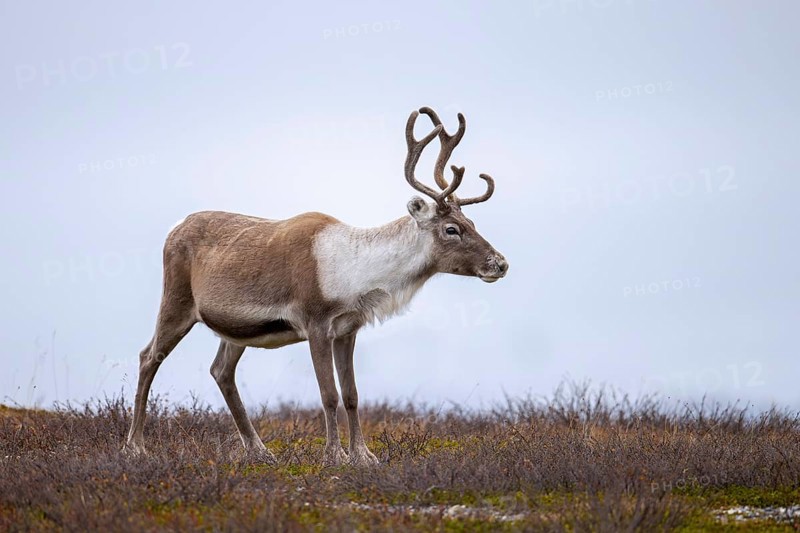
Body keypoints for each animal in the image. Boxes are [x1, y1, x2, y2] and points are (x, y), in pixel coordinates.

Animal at [123, 107, 508, 466]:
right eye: (451, 229)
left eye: (472, 222)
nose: (501, 263)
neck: (357, 274)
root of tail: (175, 228)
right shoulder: (315, 323)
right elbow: (329, 394)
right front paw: (334, 455)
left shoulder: (348, 328)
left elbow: (352, 394)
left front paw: (363, 455)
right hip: (176, 301)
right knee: (149, 356)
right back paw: (135, 446)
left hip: (235, 330)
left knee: (221, 371)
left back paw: (259, 450)